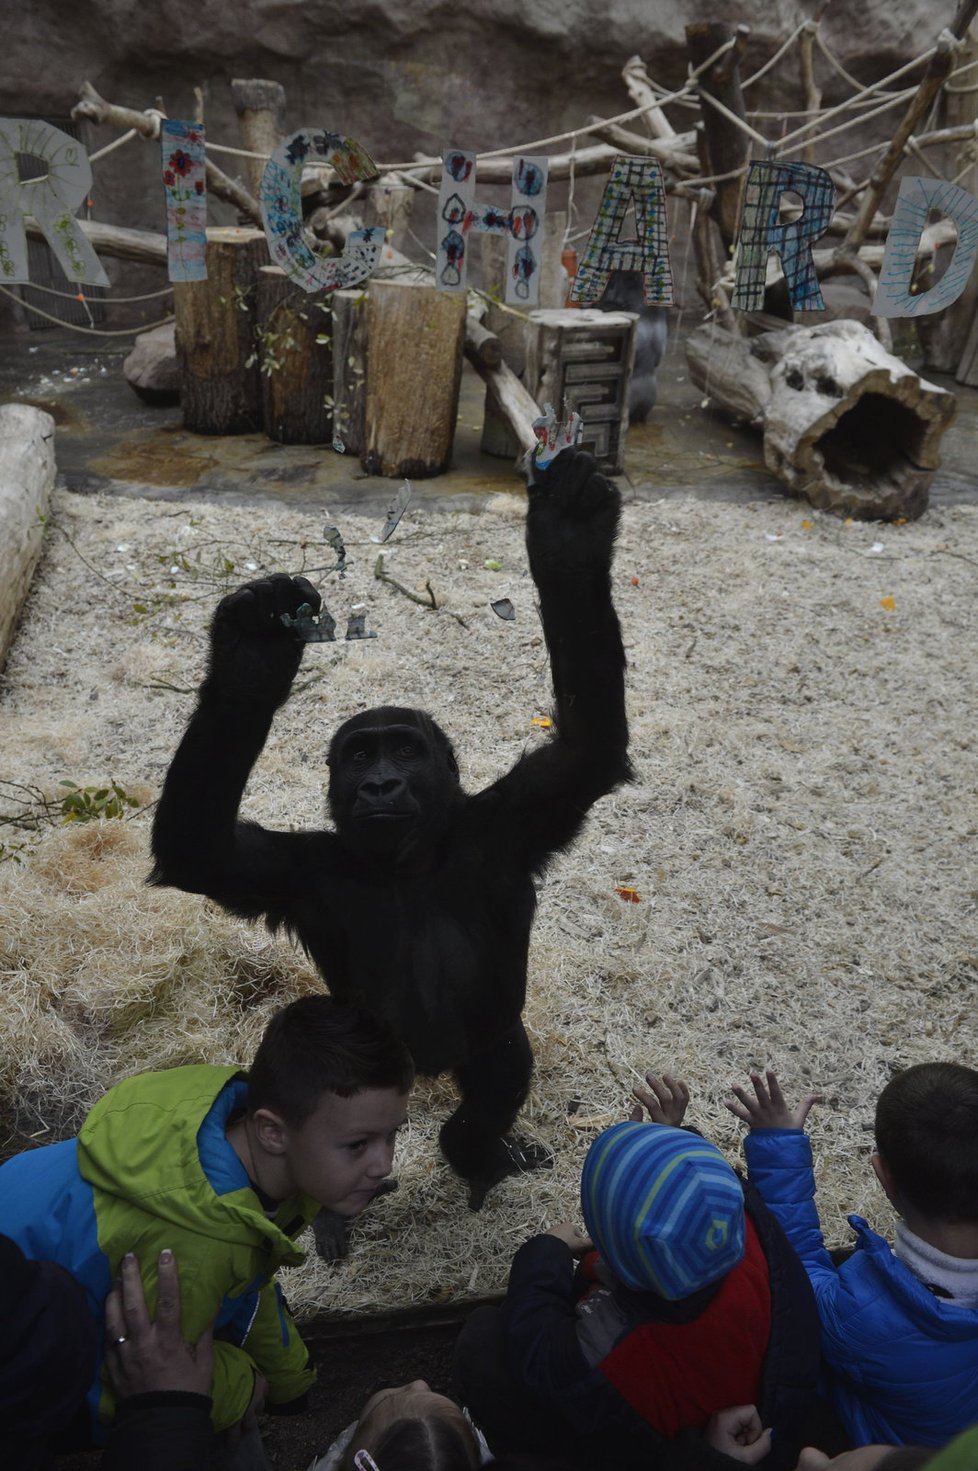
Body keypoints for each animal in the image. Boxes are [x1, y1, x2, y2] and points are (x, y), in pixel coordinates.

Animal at [148, 444, 629, 1217]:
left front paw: (567, 541)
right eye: (359, 756)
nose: (379, 784)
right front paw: (251, 654)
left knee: (499, 1065)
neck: (409, 861)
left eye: (403, 751)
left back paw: (473, 1150)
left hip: (473, 1050)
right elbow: (199, 846)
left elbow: (590, 743)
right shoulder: (299, 871)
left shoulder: (511, 821)